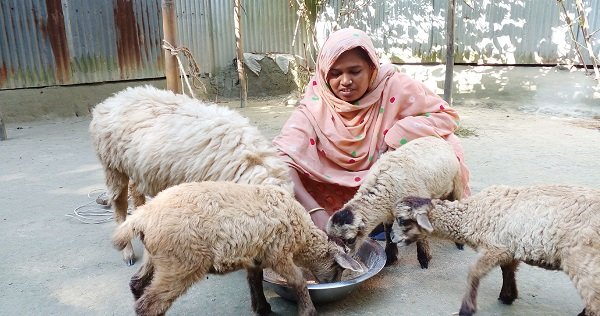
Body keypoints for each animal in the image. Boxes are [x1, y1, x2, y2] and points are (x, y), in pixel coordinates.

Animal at [89, 85, 292, 266]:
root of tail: (111, 100)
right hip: (112, 166)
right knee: (119, 205)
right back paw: (127, 251)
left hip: (135, 166)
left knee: (135, 190)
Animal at [114, 181, 364, 316]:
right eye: (338, 267)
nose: (332, 282)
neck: (301, 233)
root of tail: (143, 216)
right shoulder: (278, 254)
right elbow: (298, 282)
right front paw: (308, 311)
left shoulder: (256, 257)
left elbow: (255, 281)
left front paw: (262, 308)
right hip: (180, 264)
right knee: (149, 305)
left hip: (156, 257)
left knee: (136, 284)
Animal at [326, 137, 462, 268]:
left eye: (350, 240)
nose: (344, 262)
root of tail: (439, 139)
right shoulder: (388, 214)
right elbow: (388, 234)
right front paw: (390, 258)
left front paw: (424, 258)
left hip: (456, 183)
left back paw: (459, 243)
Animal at [394, 184, 600, 316]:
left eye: (402, 220)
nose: (393, 240)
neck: (470, 215)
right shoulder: (510, 247)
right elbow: (507, 270)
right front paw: (508, 296)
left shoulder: (495, 247)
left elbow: (474, 272)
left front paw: (466, 309)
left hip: (583, 260)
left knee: (594, 301)